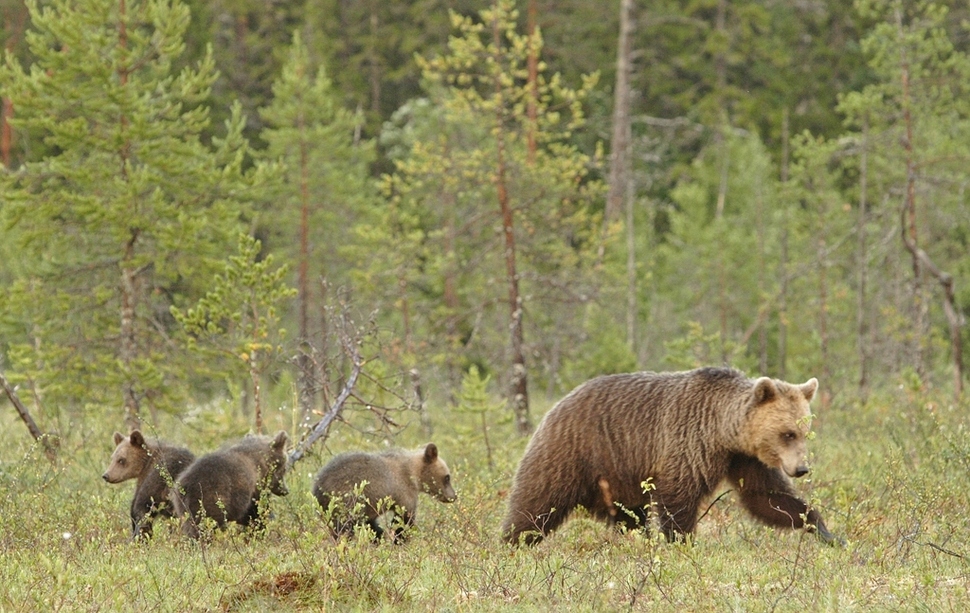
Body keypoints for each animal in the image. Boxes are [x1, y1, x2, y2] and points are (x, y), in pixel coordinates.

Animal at [312, 442, 460, 536]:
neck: (413, 474)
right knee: (345, 527)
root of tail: (317, 489)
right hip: (345, 501)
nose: (453, 496)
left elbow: (373, 525)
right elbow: (404, 519)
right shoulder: (403, 492)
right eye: (447, 477)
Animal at [502, 368, 836, 544]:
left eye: (805, 431)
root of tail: (558, 404)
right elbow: (678, 499)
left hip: (616, 478)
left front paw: (826, 532)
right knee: (537, 503)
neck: (723, 432)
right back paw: (513, 543)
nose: (801, 469)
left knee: (629, 517)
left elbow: (766, 496)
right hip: (573, 453)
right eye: (787, 433)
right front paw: (681, 541)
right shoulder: (687, 443)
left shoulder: (744, 458)